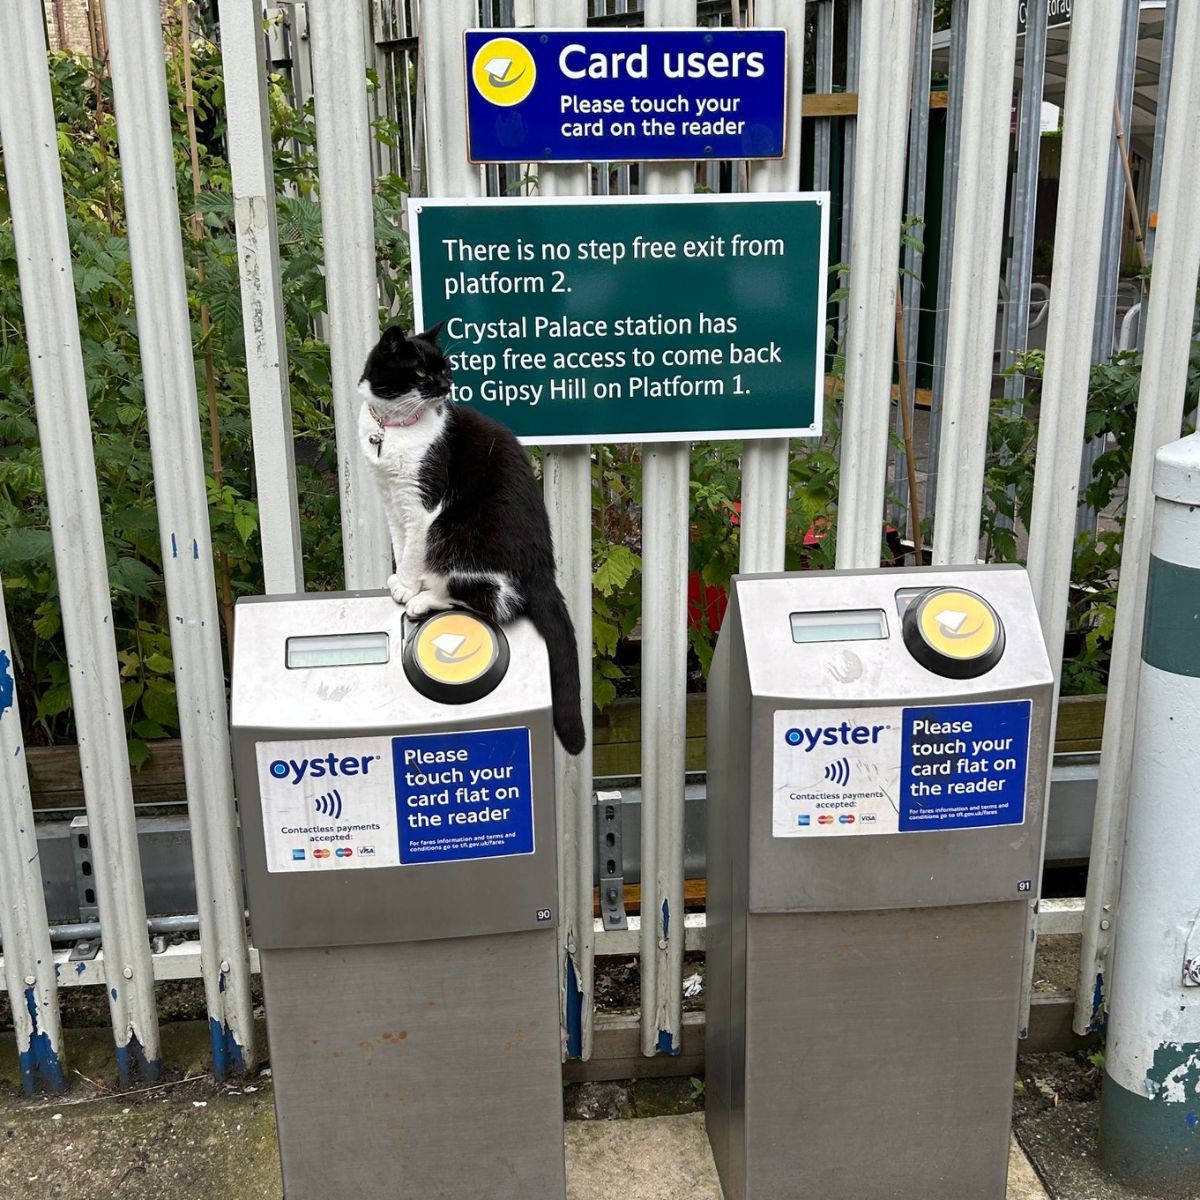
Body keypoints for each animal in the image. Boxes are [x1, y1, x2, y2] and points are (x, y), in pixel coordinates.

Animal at [355, 324, 585, 753]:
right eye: (422, 373)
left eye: (446, 369)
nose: (447, 385)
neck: (393, 427)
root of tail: (544, 574)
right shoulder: (390, 496)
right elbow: (399, 541)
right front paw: (400, 579)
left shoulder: (422, 502)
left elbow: (413, 549)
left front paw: (407, 588)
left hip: (455, 536)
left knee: (494, 600)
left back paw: (425, 598)